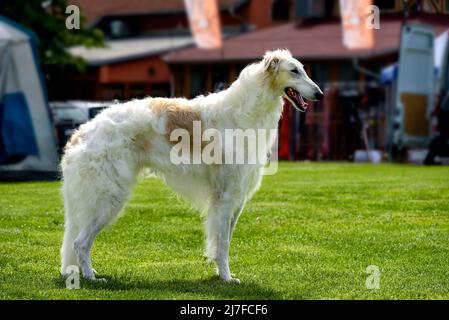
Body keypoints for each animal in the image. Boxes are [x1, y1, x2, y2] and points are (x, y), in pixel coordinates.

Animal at [60, 49, 322, 282]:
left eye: (303, 69)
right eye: (294, 70)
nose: (319, 93)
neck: (244, 113)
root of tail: (80, 134)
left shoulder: (236, 198)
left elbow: (224, 241)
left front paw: (222, 274)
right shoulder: (224, 197)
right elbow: (222, 243)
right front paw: (226, 278)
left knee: (78, 242)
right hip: (109, 197)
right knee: (79, 243)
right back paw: (91, 278)